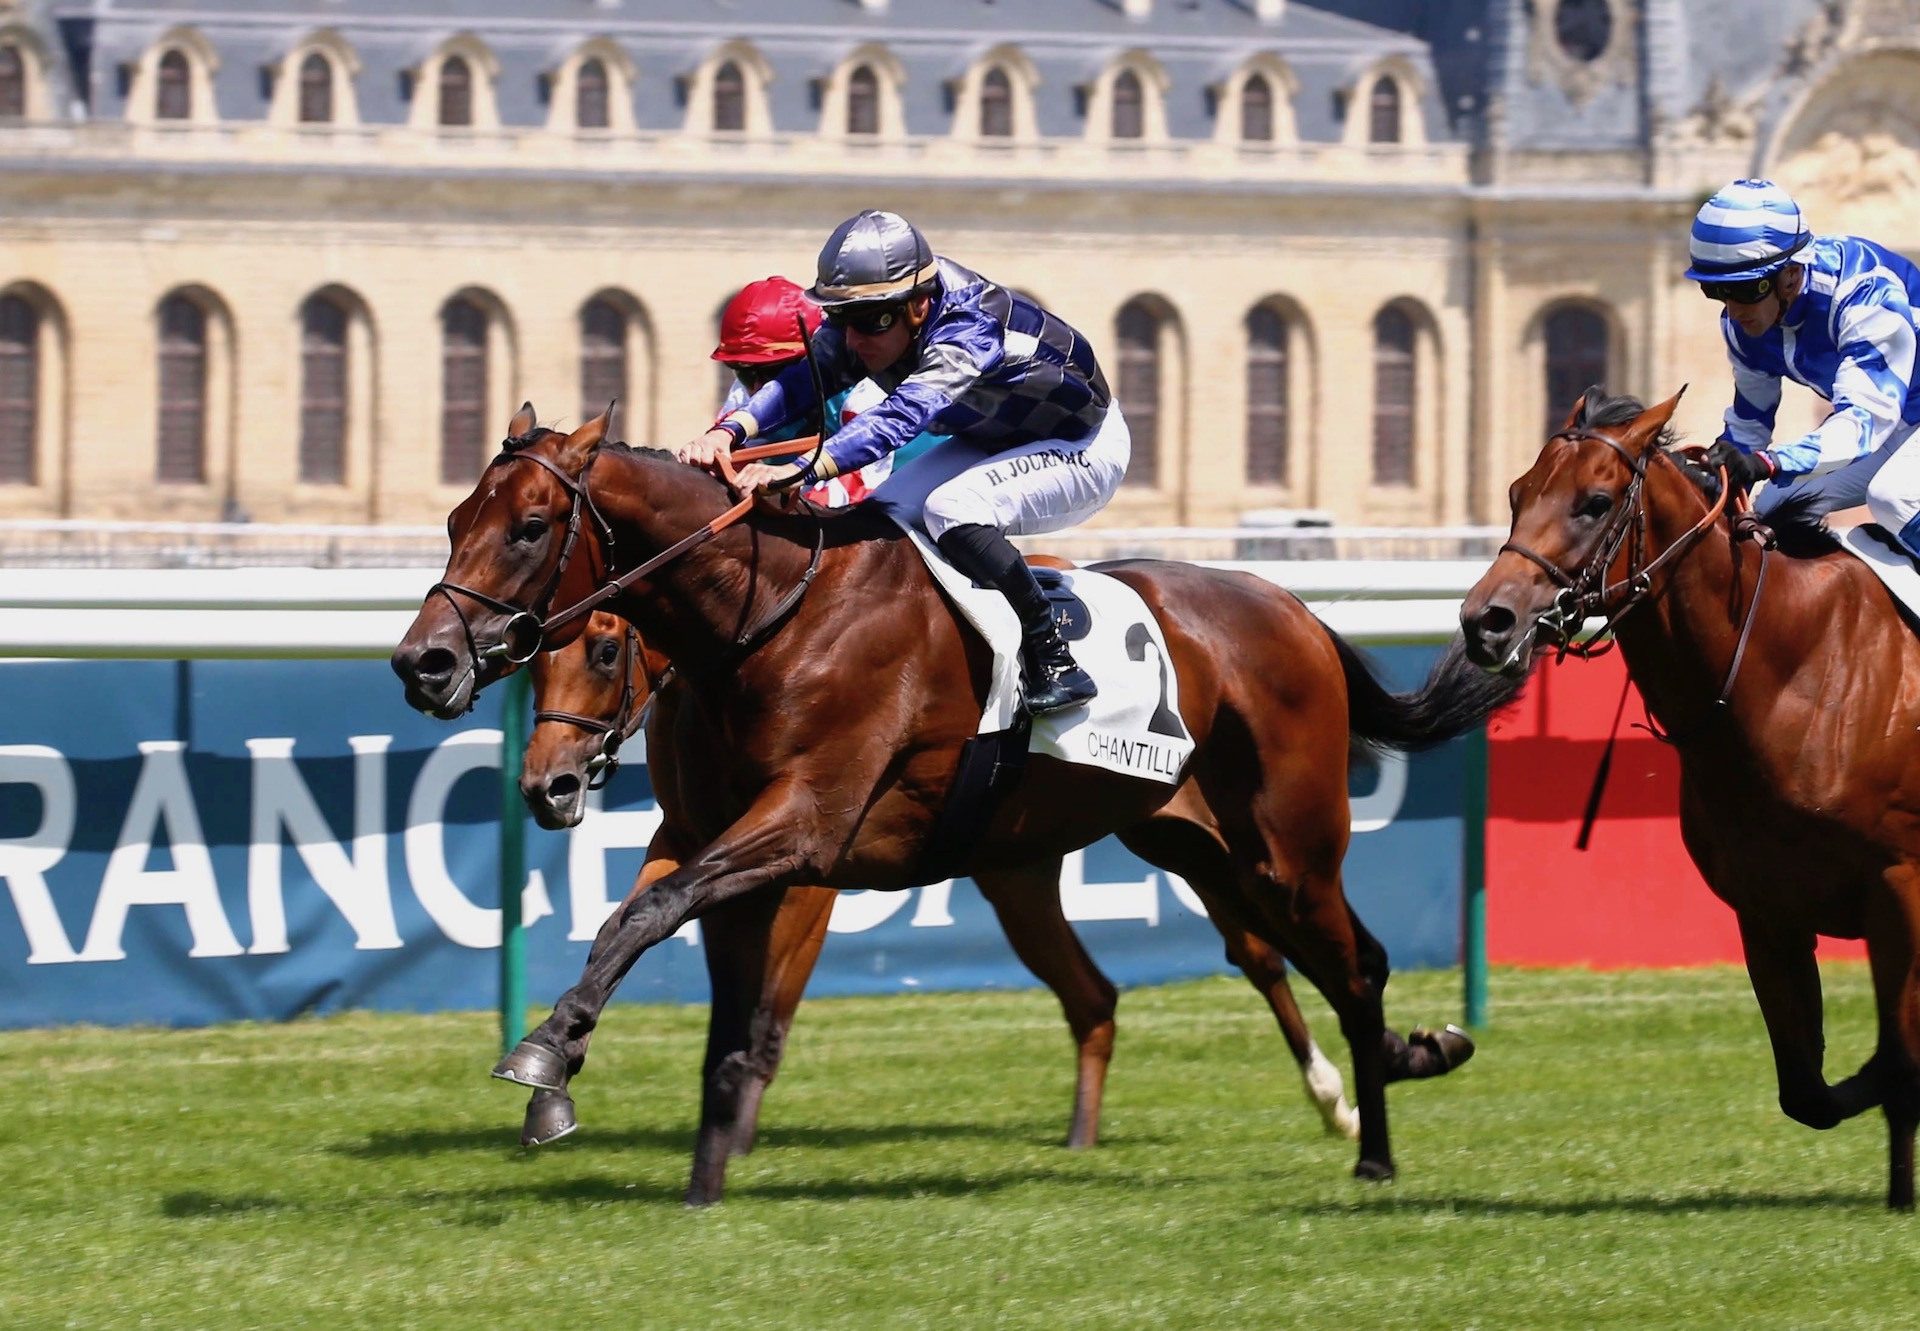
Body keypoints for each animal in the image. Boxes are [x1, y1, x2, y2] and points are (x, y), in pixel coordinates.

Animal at [1459, 382, 1920, 1206]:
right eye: (1516, 493)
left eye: (1596, 502)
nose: (1487, 621)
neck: (1795, 668)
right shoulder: (1766, 907)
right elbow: (1809, 1091)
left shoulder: (1901, 886)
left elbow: (1900, 1059)